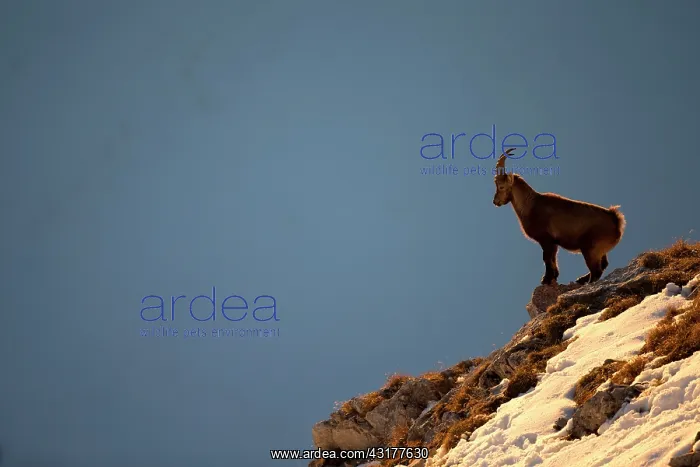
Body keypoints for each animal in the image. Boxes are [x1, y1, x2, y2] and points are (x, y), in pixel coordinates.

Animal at [492, 149, 626, 285]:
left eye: (501, 186)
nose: (495, 202)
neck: (530, 205)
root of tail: (615, 219)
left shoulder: (546, 239)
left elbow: (546, 258)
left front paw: (546, 279)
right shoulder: (554, 243)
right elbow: (553, 259)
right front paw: (553, 277)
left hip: (590, 248)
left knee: (596, 270)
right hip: (599, 250)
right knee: (603, 264)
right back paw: (581, 279)